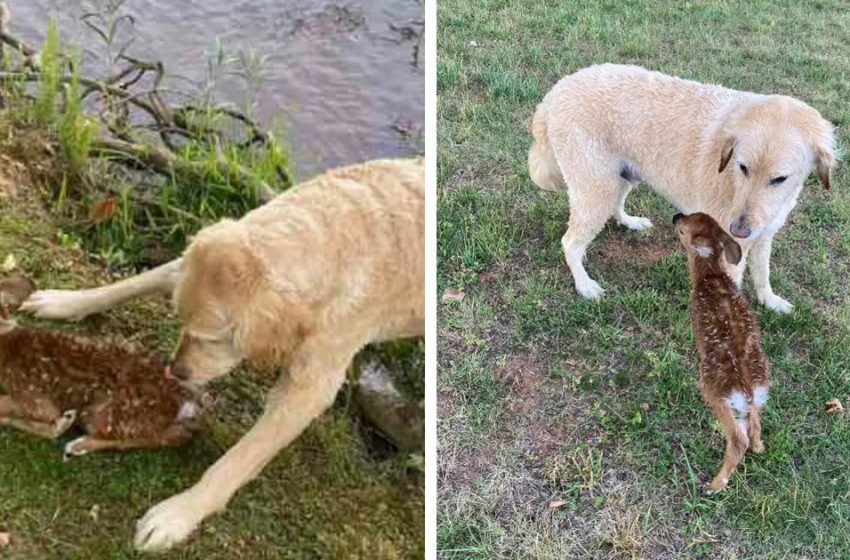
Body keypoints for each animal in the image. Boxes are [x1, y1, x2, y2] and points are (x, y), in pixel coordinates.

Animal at [0, 274, 197, 458]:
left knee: (175, 436)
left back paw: (78, 446)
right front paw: (62, 422)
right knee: (179, 434)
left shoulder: (33, 398)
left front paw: (60, 424)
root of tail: (184, 403)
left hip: (104, 414)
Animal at [21, 158, 424, 552]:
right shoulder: (186, 263)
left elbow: (238, 460)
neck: (329, 236)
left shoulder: (308, 388)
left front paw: (177, 515)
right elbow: (132, 282)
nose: (175, 371)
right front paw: (65, 301)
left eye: (214, 340)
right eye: (181, 321)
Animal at [528, 64, 836, 316]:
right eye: (743, 167)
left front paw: (770, 301)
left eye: (779, 179)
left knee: (614, 207)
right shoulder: (729, 252)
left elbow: (762, 274)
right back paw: (584, 285)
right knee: (570, 242)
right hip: (597, 188)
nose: (738, 230)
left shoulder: (763, 237)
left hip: (620, 177)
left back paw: (629, 222)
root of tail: (555, 92)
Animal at [676, 213, 768, 494]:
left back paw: (713, 485)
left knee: (738, 438)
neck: (712, 276)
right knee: (755, 424)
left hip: (714, 392)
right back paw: (759, 447)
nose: (675, 216)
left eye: (682, 230)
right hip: (753, 400)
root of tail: (748, 391)